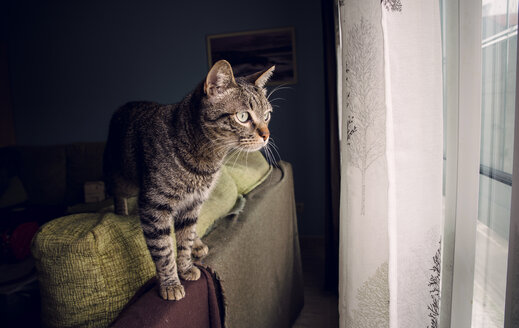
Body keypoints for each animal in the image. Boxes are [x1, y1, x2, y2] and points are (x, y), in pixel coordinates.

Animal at [104, 59, 278, 300]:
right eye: (243, 116)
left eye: (267, 115)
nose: (266, 135)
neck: (206, 160)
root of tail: (124, 106)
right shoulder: (154, 206)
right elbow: (164, 250)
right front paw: (170, 283)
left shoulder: (193, 203)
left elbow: (184, 239)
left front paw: (185, 267)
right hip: (121, 178)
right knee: (116, 193)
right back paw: (121, 212)